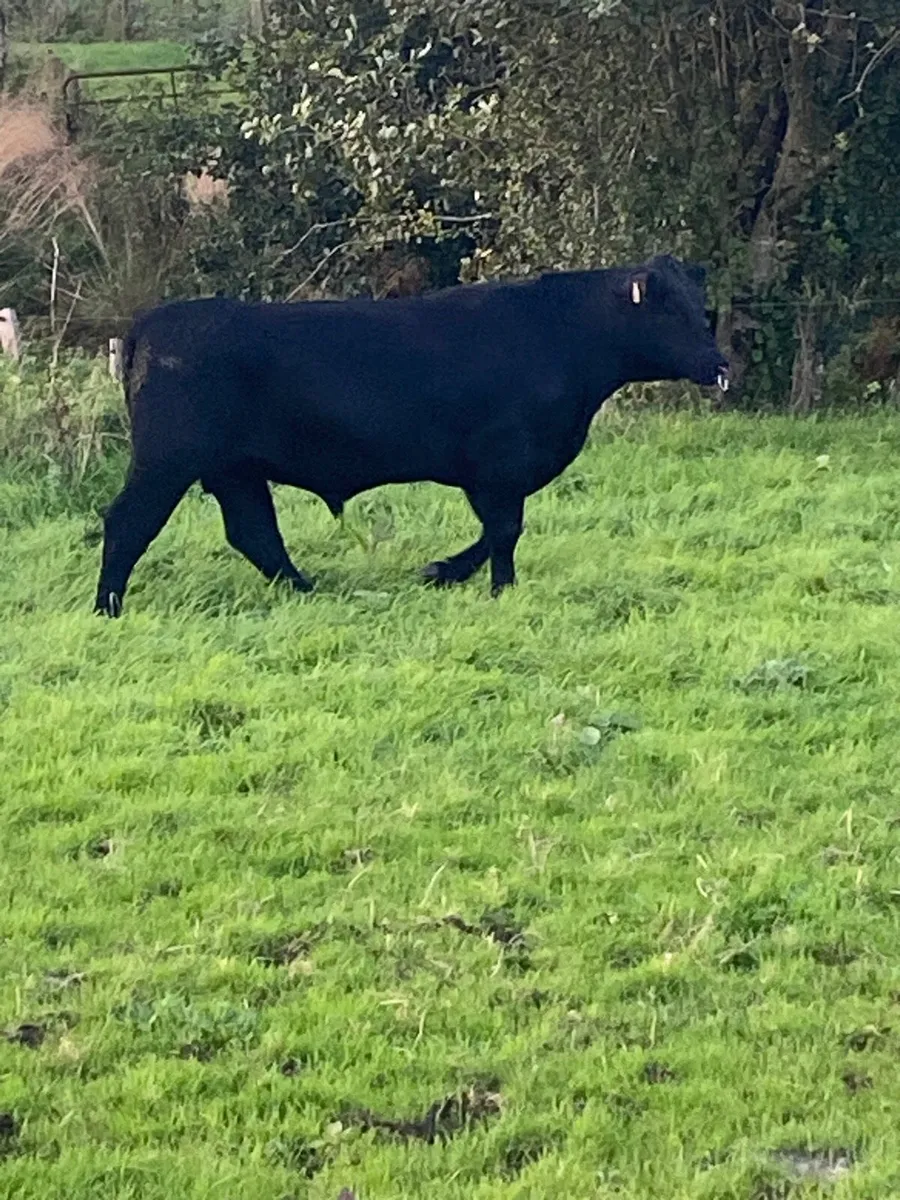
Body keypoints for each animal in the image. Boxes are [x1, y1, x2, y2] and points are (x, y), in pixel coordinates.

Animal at [94, 253, 728, 617]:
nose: (720, 364)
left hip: (234, 469)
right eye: (672, 311)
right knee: (129, 523)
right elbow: (505, 531)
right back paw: (108, 607)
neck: (560, 337)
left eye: (704, 308)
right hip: (168, 460)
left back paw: (308, 591)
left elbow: (494, 532)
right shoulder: (499, 462)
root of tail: (153, 321)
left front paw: (443, 571)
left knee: (255, 534)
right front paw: (497, 589)